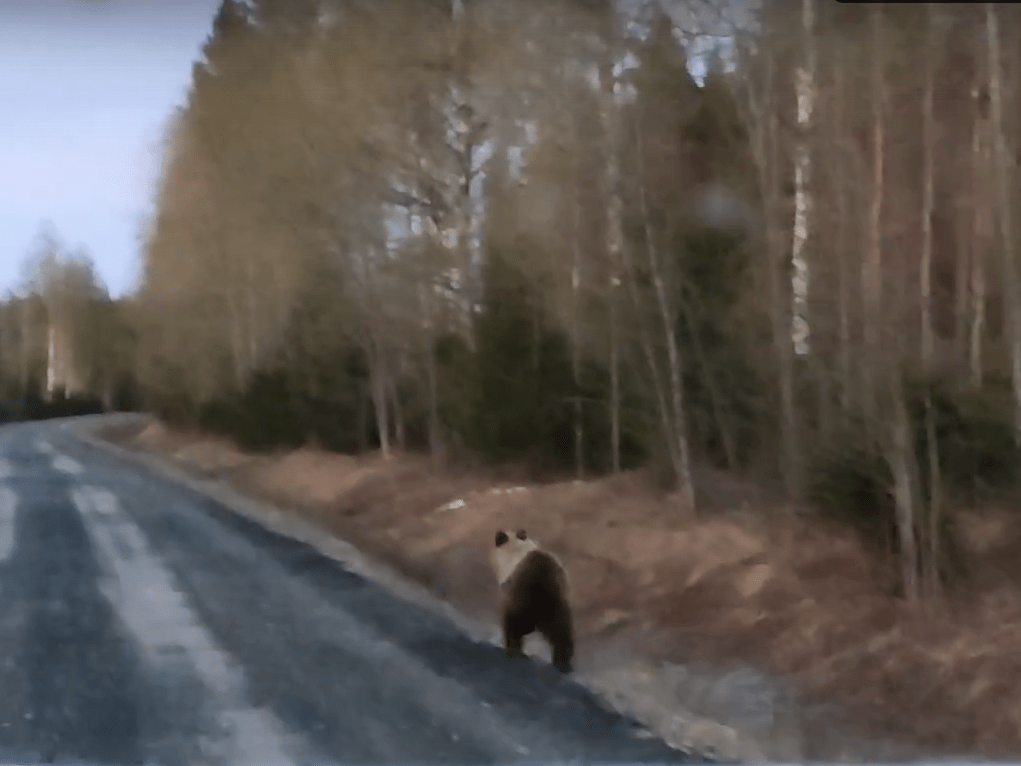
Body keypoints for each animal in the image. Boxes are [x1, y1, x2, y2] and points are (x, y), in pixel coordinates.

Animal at [490, 528, 575, 674]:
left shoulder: (510, 583)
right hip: (559, 606)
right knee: (562, 633)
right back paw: (562, 665)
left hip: (525, 599)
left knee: (513, 624)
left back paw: (515, 652)